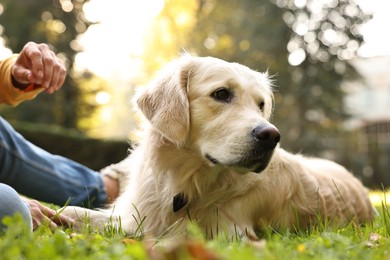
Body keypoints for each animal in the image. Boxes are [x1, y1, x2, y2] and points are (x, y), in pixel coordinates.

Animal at [62, 54, 376, 240]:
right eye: (221, 94)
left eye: (261, 105)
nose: (271, 136)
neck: (187, 183)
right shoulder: (136, 214)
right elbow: (79, 214)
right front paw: (57, 217)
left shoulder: (230, 232)